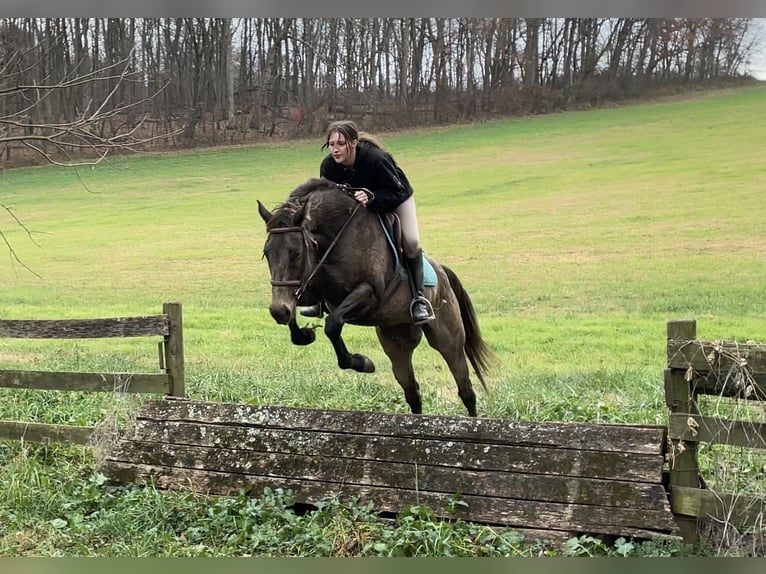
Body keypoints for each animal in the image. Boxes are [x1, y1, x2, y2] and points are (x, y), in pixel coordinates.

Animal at [260, 178, 498, 416]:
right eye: (266, 253)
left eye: (296, 253)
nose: (278, 312)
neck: (336, 237)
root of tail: (442, 272)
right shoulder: (305, 289)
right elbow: (298, 320)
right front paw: (305, 334)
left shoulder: (369, 293)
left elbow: (333, 324)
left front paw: (362, 362)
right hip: (397, 340)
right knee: (412, 392)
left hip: (448, 338)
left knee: (465, 388)